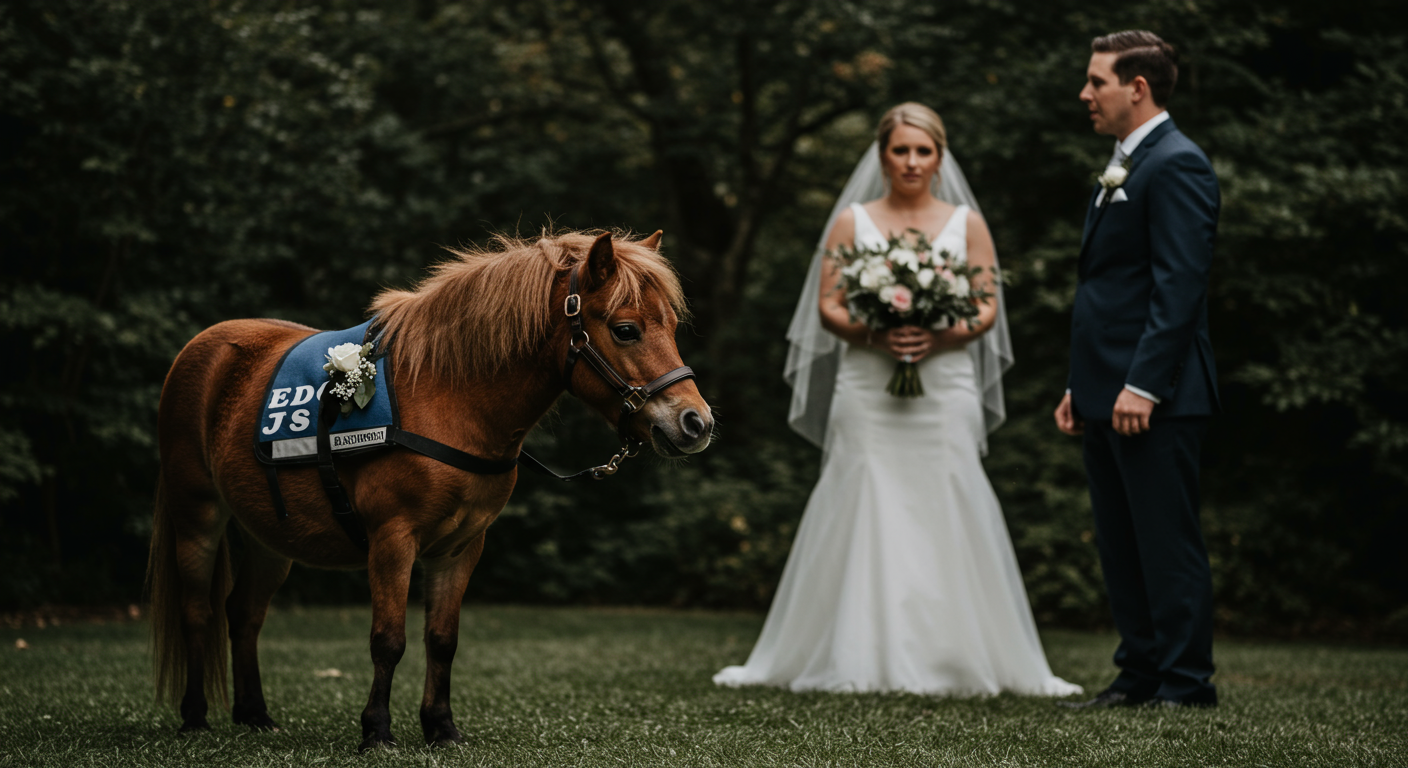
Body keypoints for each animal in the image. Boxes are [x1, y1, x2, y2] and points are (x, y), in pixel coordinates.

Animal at [146, 230, 712, 750]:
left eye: (670, 326)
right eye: (625, 329)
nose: (696, 423)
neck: (448, 397)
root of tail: (200, 350)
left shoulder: (461, 547)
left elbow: (442, 640)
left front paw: (440, 727)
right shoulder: (392, 541)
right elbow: (388, 640)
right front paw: (376, 731)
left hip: (270, 538)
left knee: (244, 614)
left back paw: (255, 715)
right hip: (198, 516)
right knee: (198, 611)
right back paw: (194, 716)